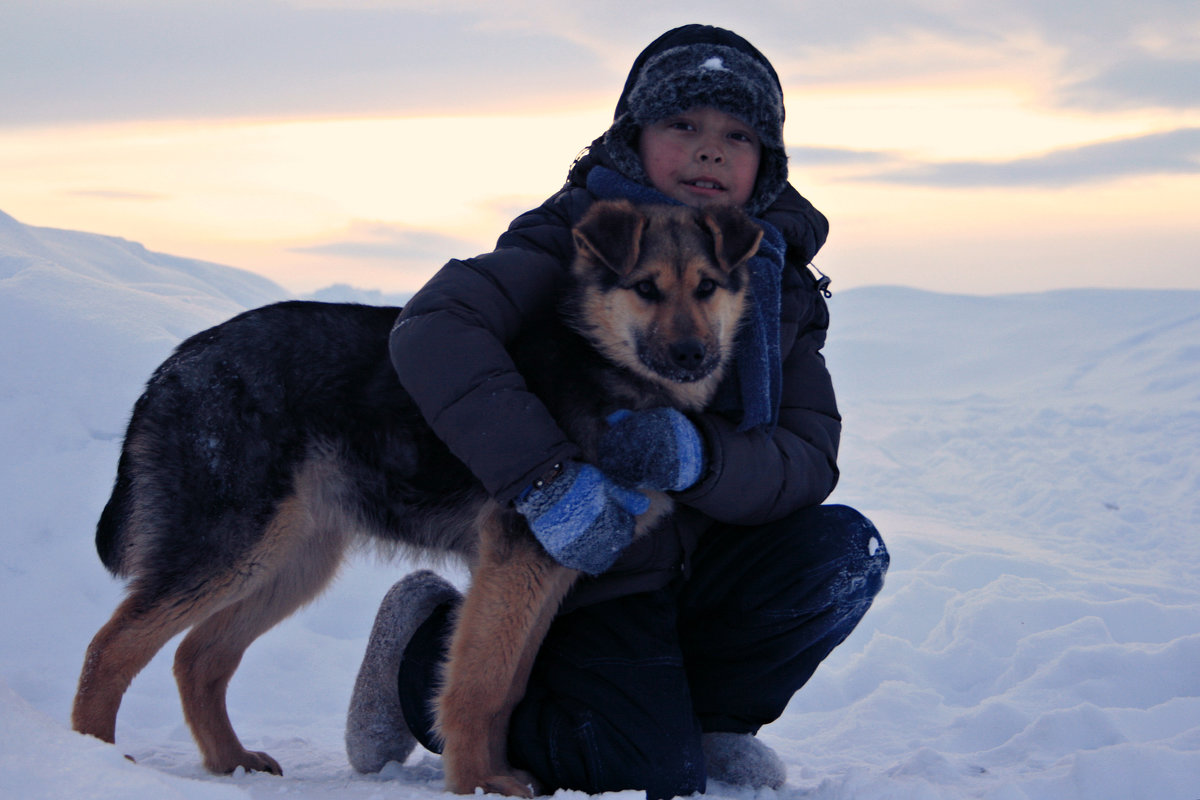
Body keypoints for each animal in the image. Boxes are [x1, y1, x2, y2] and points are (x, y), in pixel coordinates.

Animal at [72, 199, 758, 796]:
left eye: (707, 287)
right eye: (645, 288)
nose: (692, 355)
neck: (604, 364)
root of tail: (173, 367)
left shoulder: (551, 568)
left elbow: (509, 686)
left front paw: (491, 772)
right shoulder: (518, 556)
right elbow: (480, 685)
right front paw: (479, 782)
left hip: (291, 560)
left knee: (198, 656)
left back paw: (230, 761)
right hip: (231, 547)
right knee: (111, 649)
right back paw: (93, 760)